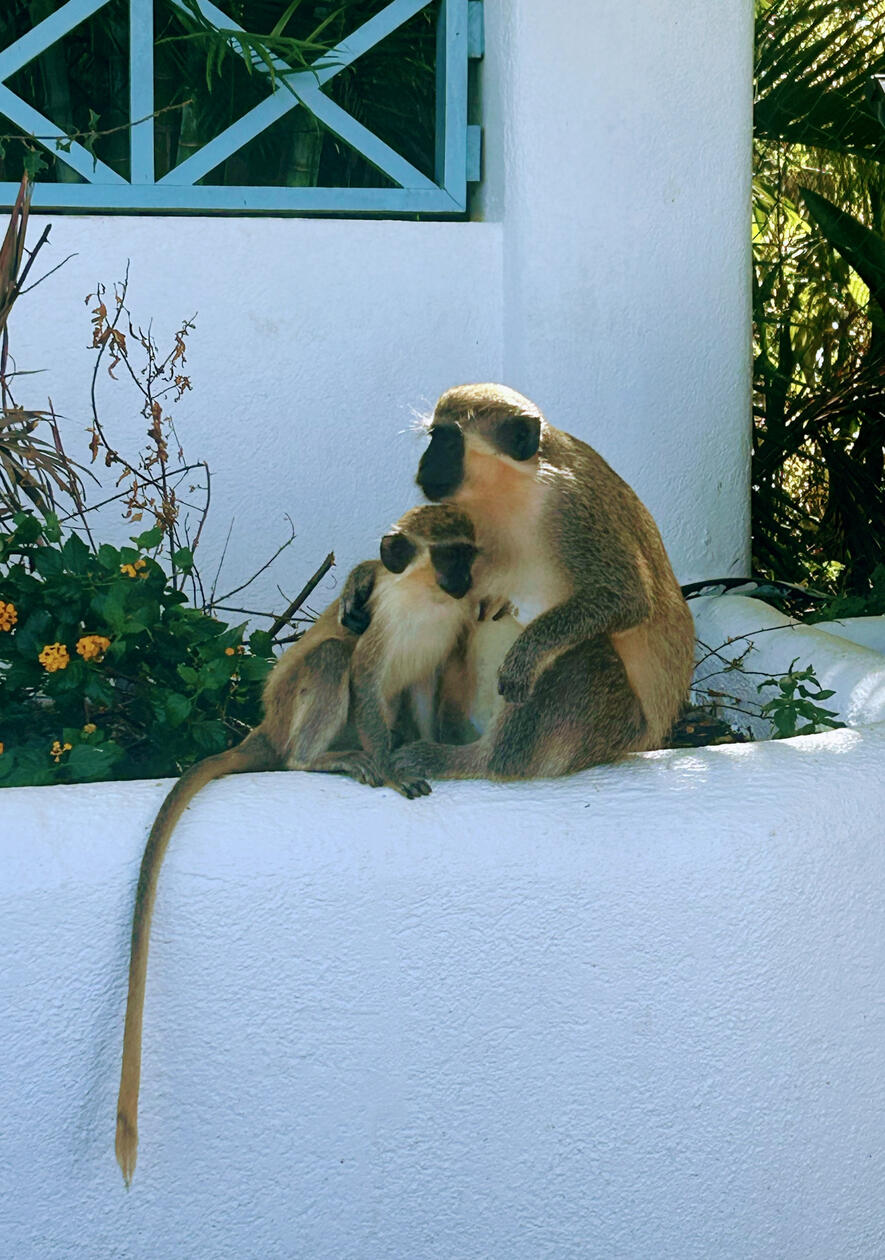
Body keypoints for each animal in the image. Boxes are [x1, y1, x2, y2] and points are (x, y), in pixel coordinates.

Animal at [115, 503, 484, 1185]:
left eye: (469, 553)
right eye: (448, 555)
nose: (465, 580)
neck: (423, 596)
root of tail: (263, 727)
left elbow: (420, 690)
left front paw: (429, 752)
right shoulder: (382, 623)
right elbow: (363, 674)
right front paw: (392, 770)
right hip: (294, 709)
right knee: (332, 660)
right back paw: (318, 759)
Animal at [374, 382, 696, 782]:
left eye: (446, 440)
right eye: (434, 437)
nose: (424, 464)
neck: (514, 489)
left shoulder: (575, 507)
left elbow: (627, 598)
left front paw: (526, 655)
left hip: (611, 729)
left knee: (585, 652)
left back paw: (469, 761)